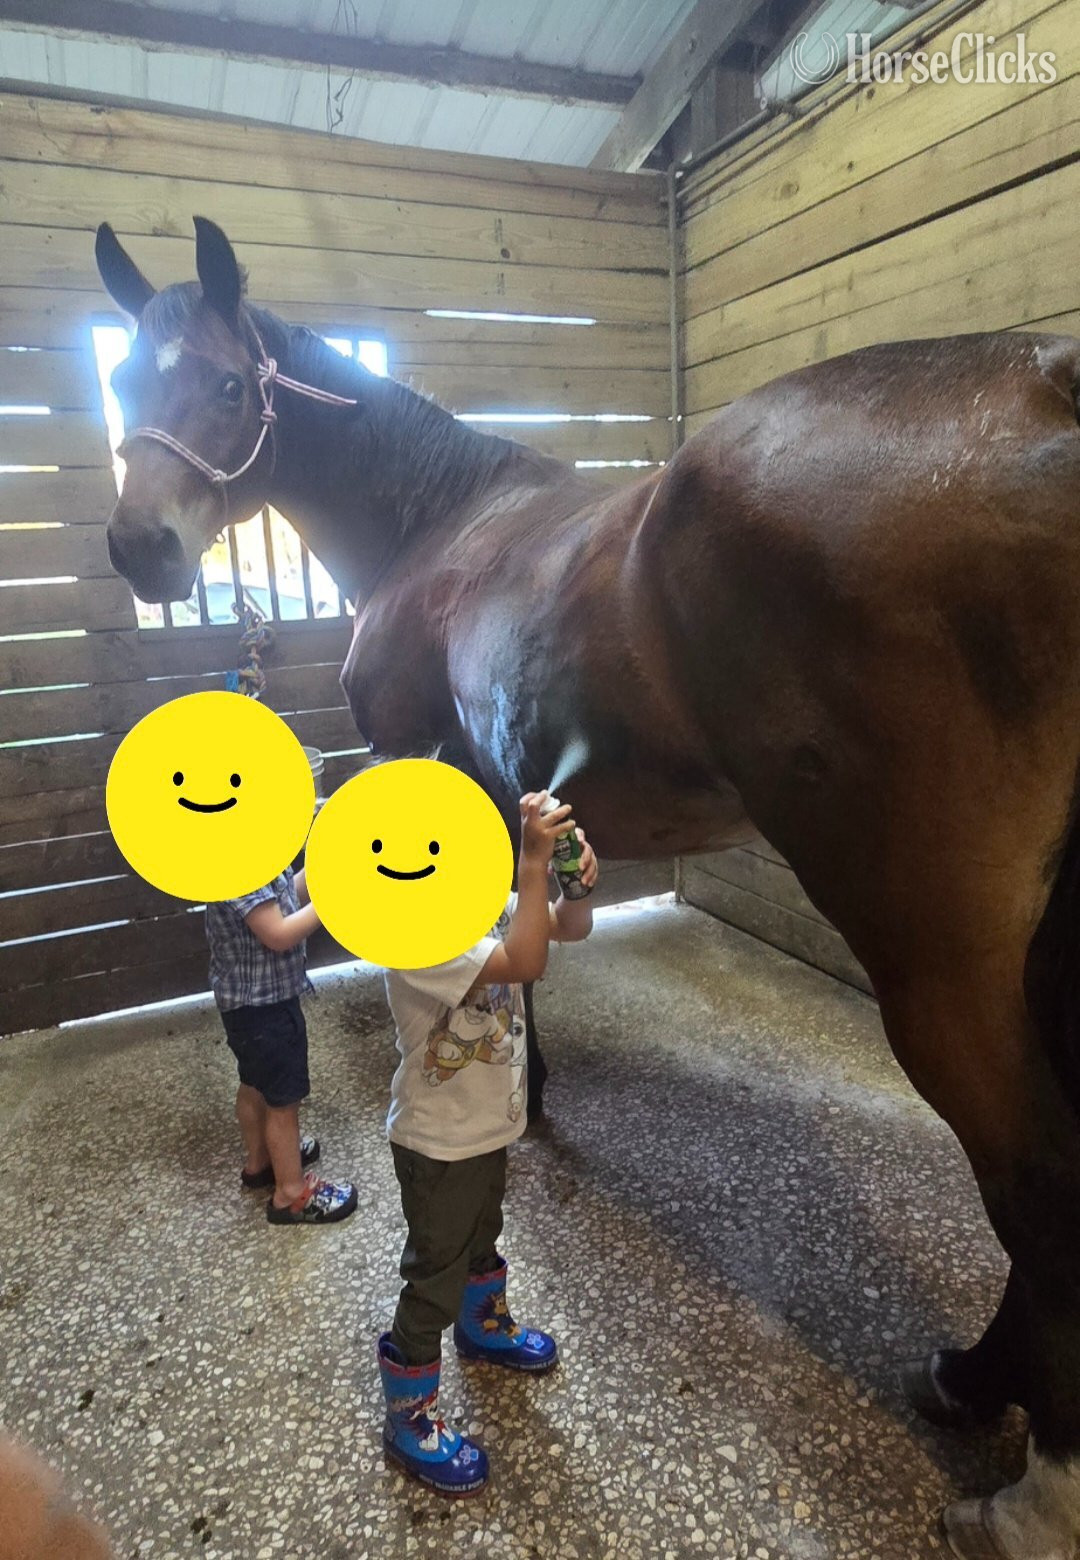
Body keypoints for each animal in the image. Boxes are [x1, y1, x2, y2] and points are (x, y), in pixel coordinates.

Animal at [95, 217, 1080, 1559]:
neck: (437, 523)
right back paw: (977, 1382)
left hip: (940, 962)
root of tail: (1049, 386)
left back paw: (1034, 1490)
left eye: (233, 387)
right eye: (120, 380)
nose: (141, 548)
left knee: (1035, 1179)